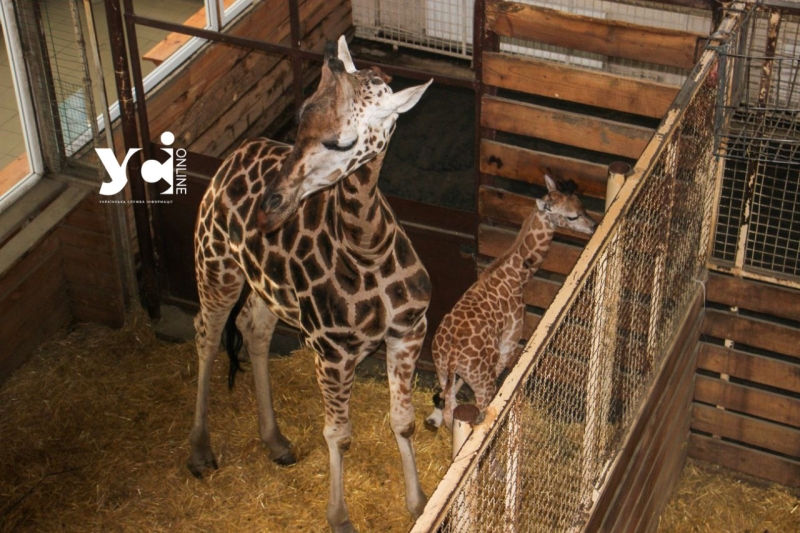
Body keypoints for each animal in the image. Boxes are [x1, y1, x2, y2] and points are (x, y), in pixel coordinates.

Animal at [189, 35, 432, 528]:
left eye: (343, 141)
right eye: (299, 120)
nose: (269, 208)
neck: (368, 246)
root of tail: (232, 157)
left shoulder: (408, 333)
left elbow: (404, 421)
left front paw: (419, 505)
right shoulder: (331, 351)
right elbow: (338, 434)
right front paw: (339, 517)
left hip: (266, 287)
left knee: (252, 329)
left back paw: (276, 441)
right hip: (216, 265)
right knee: (207, 333)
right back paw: (201, 451)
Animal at [424, 177, 592, 430]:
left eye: (580, 203)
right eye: (572, 216)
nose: (592, 225)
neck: (517, 276)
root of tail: (452, 354)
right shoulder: (510, 343)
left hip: (442, 369)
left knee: (450, 408)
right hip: (482, 380)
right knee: (479, 411)